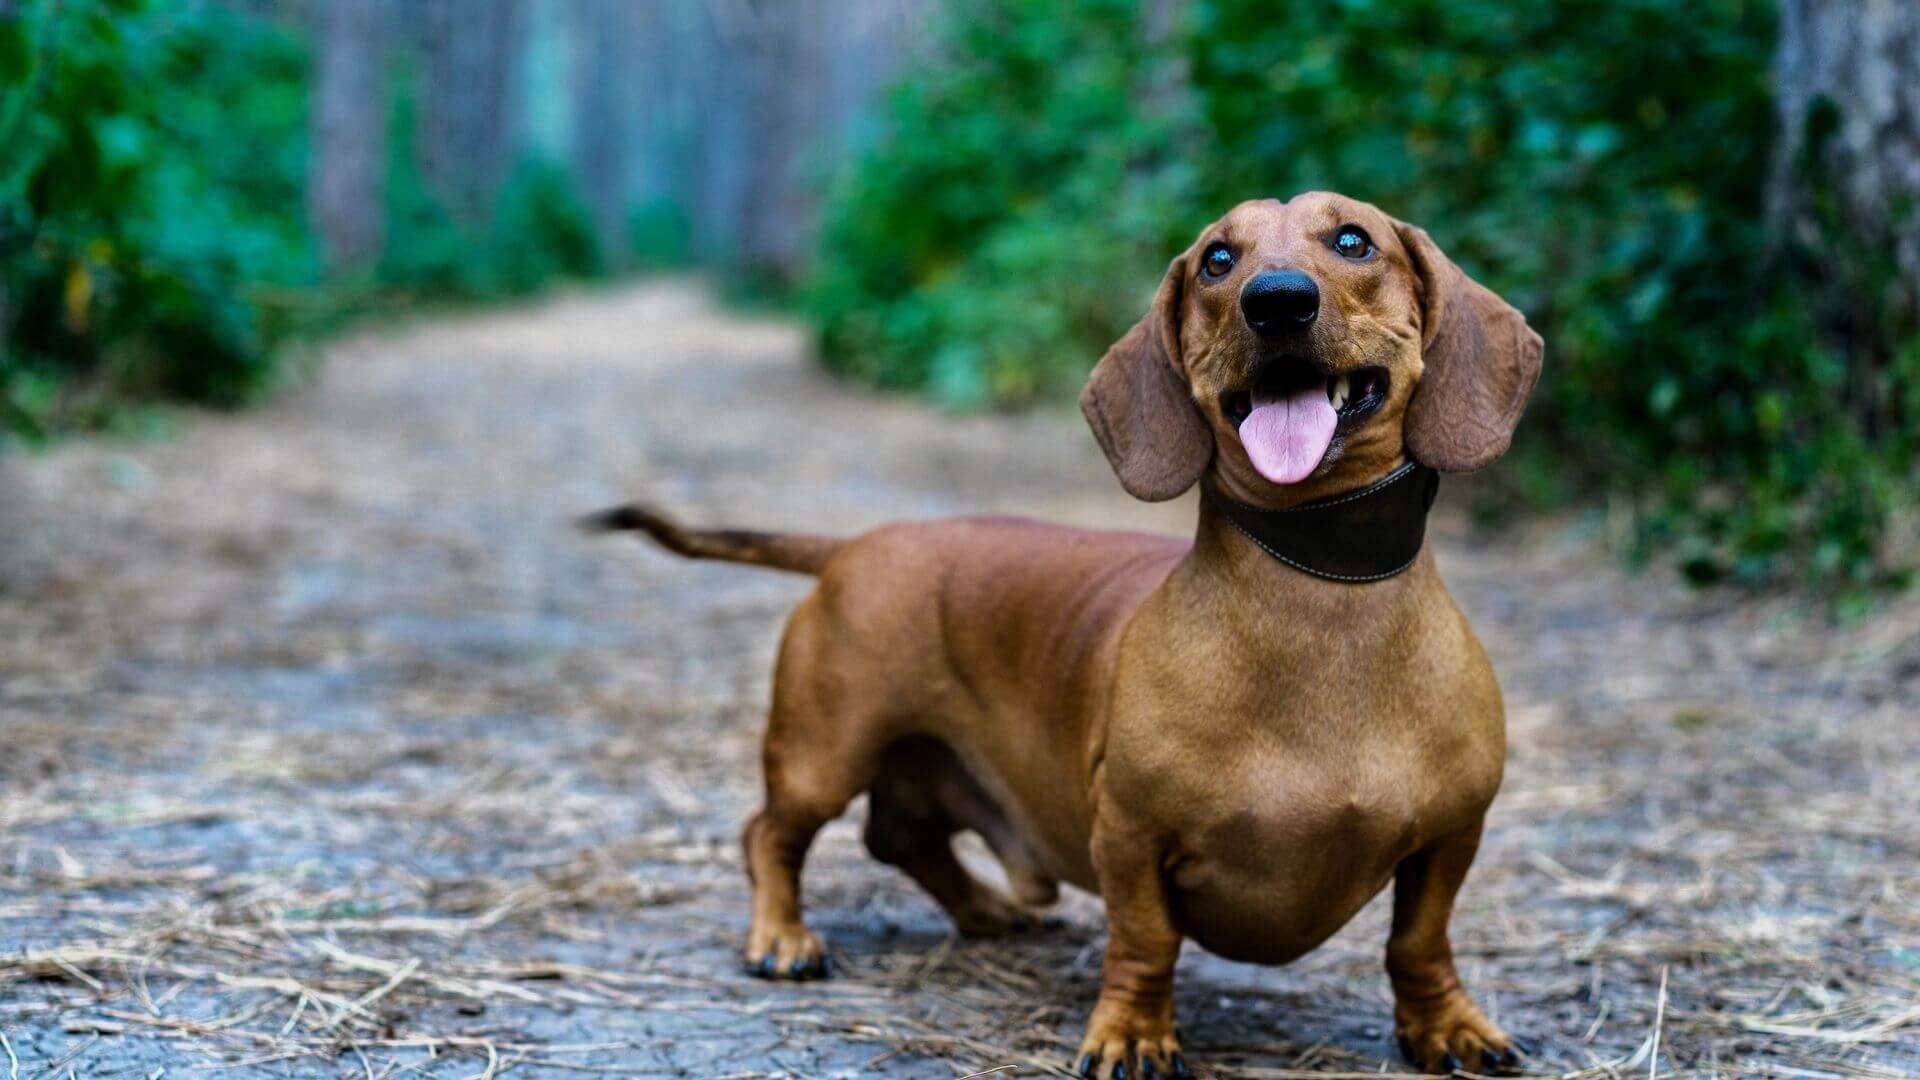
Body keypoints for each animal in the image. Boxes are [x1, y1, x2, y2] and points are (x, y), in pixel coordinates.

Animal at [587, 189, 1543, 1068]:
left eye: (1354, 240)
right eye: (1216, 260)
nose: (1275, 300)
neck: (1319, 589)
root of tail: (856, 544)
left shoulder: (1453, 835)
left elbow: (1419, 940)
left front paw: (1448, 1027)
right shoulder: (1128, 834)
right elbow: (1146, 942)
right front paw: (1133, 1035)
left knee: (901, 837)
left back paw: (986, 909)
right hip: (825, 751)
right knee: (772, 834)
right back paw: (782, 938)